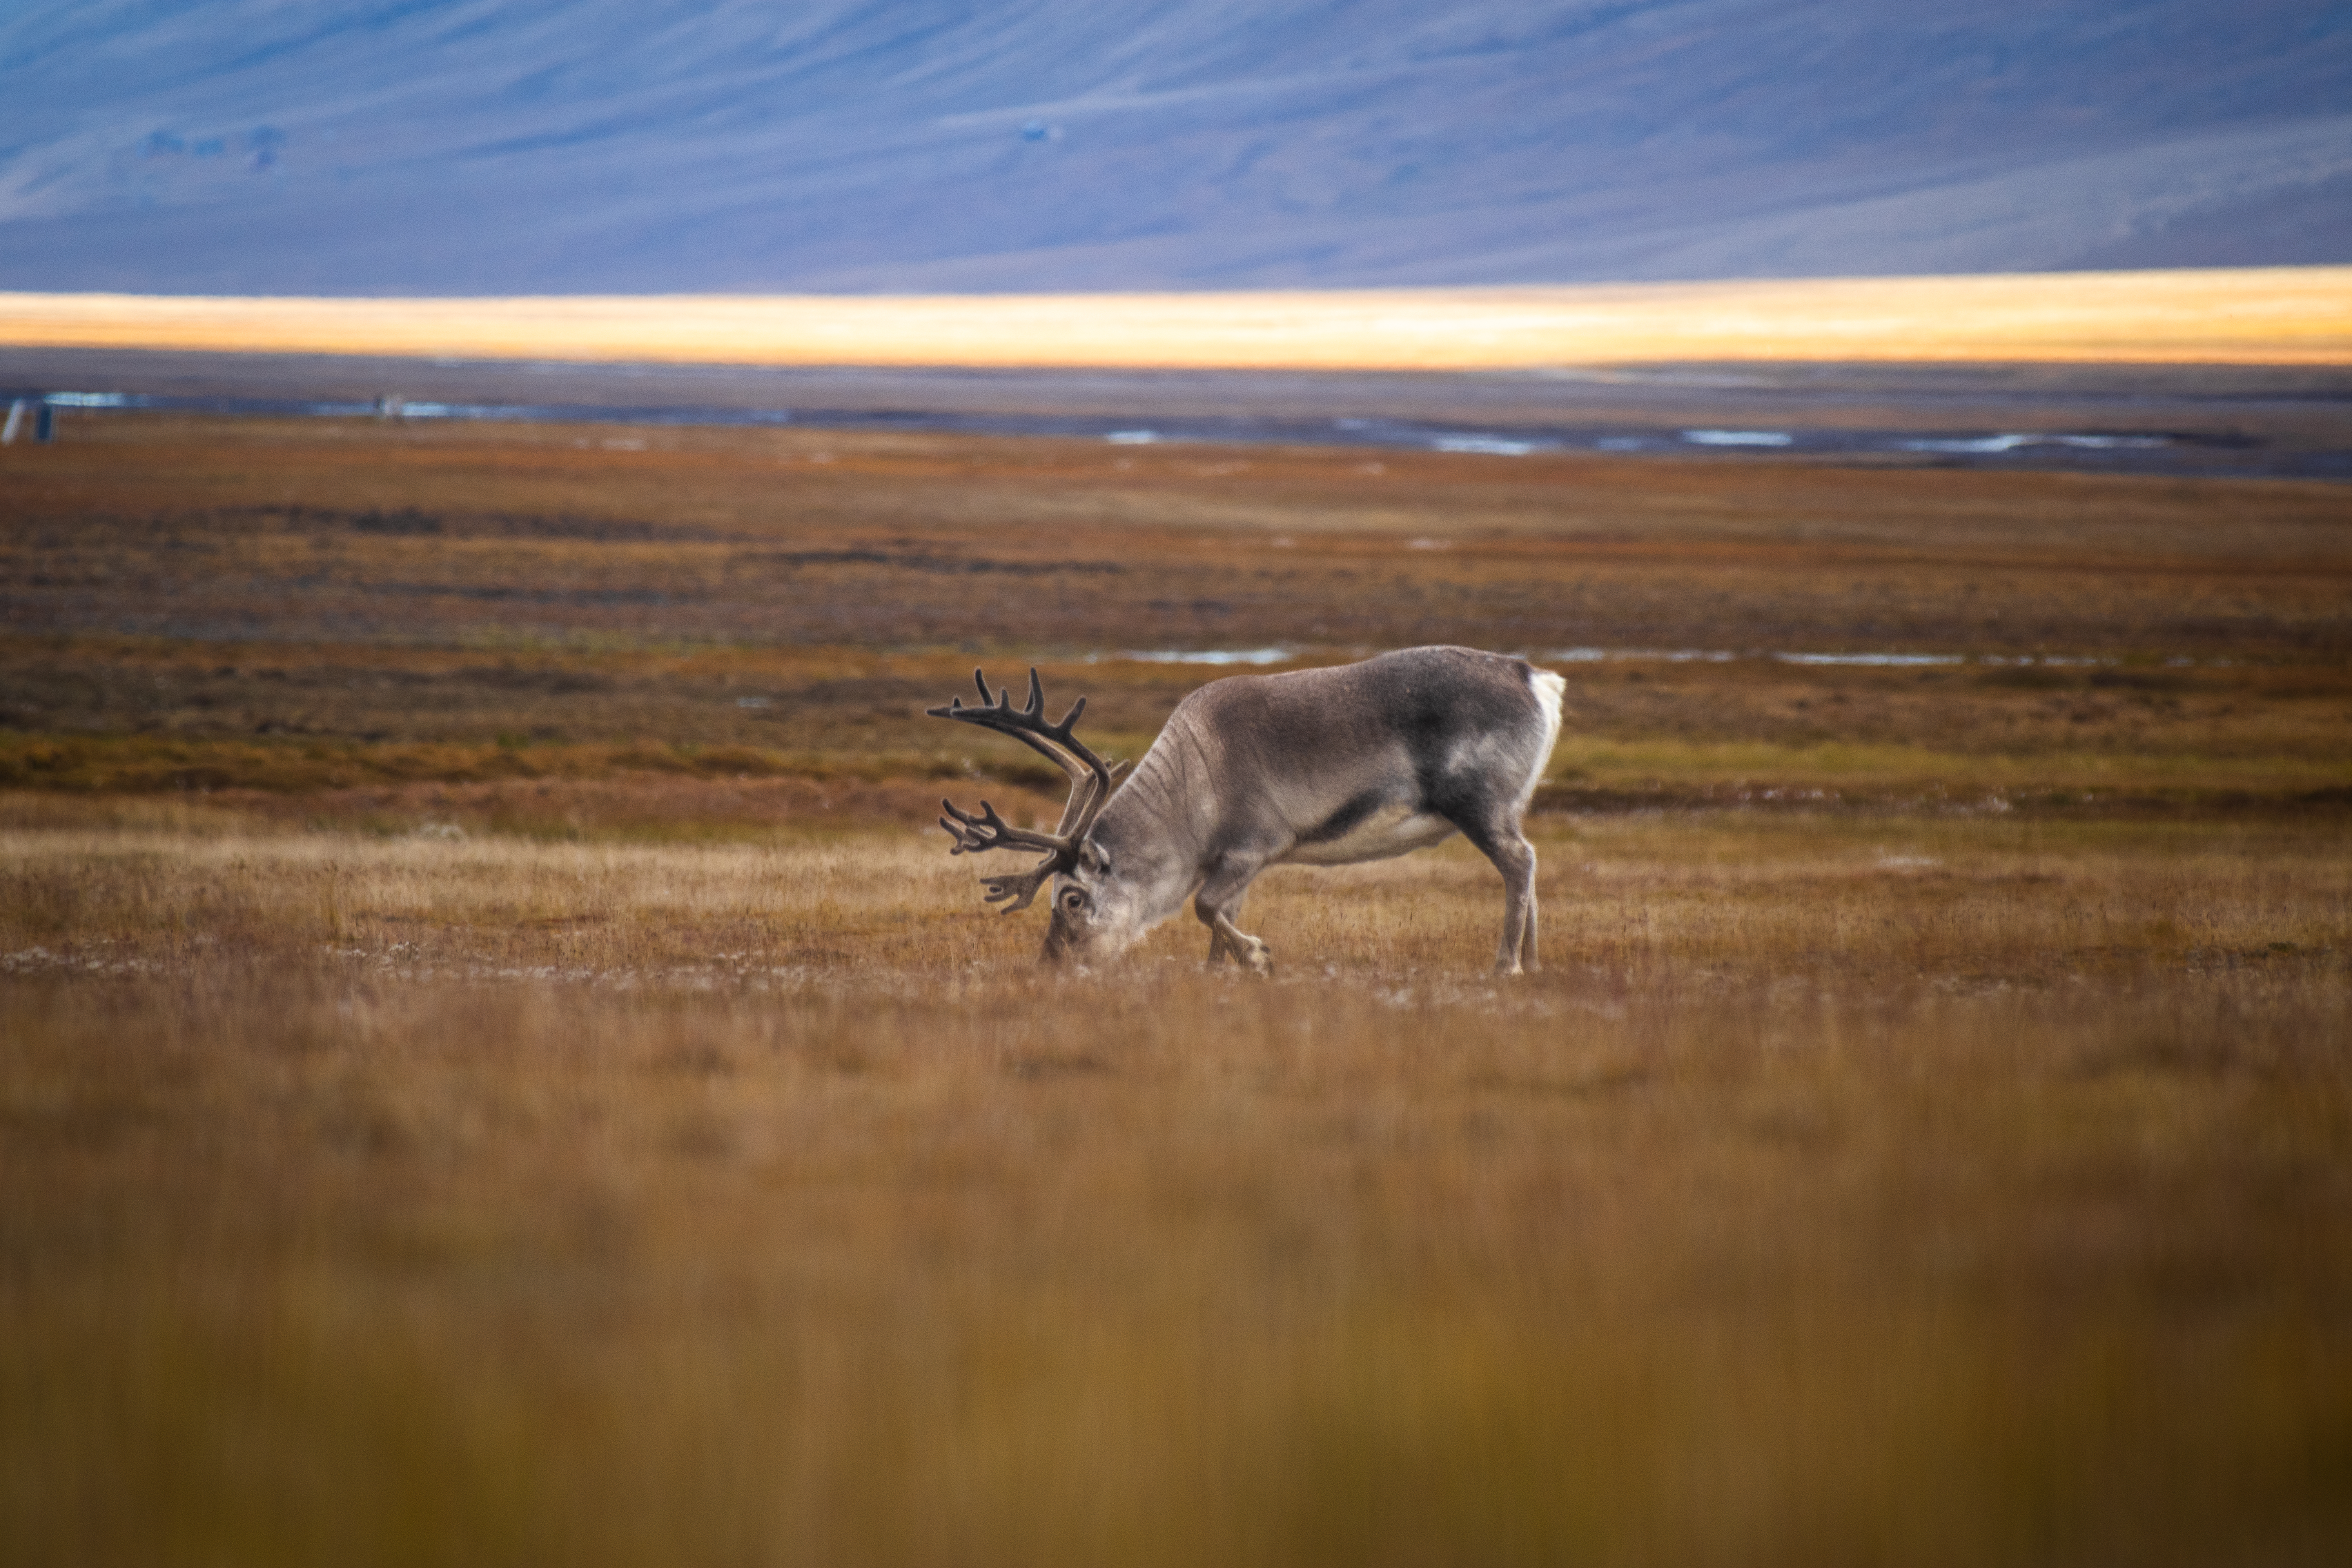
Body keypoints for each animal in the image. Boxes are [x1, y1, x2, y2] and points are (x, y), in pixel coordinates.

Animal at [930, 646, 1566, 974]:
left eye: (1073, 899)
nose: (1051, 969)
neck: (1190, 788)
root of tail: (1537, 678)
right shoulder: (1238, 864)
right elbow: (1220, 914)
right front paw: (1222, 972)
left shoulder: (1252, 847)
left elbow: (1206, 907)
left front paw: (1257, 956)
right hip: (1508, 807)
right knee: (1526, 864)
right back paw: (1534, 965)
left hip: (1478, 804)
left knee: (1520, 863)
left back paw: (1507, 965)